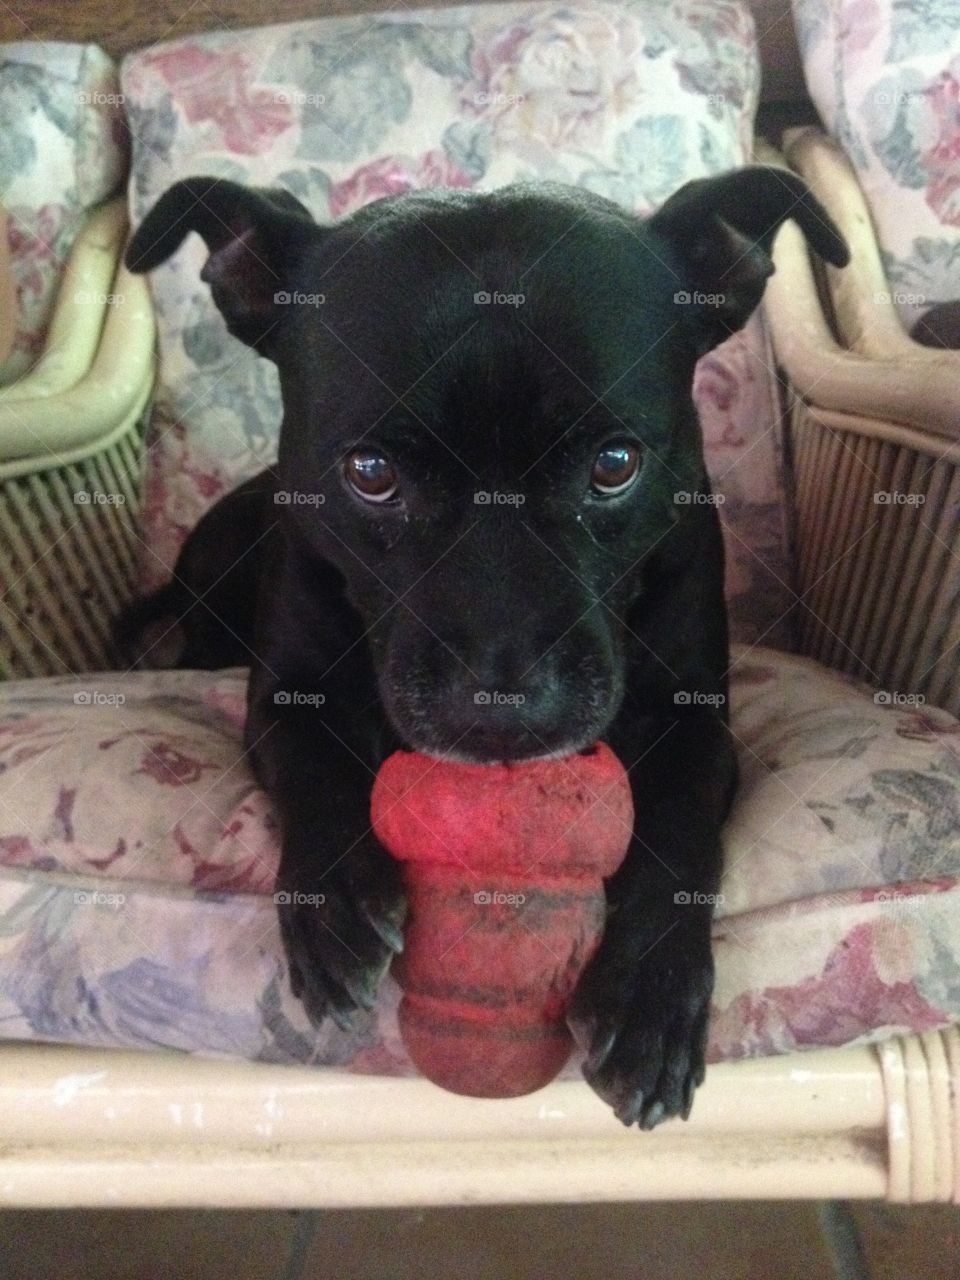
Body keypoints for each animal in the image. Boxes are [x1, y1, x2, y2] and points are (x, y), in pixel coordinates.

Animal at [122, 165, 849, 1126]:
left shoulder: (692, 719)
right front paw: (333, 904)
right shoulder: (284, 695)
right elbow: (316, 765)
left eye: (615, 464)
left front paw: (652, 996)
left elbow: (679, 836)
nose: (504, 705)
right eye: (370, 474)